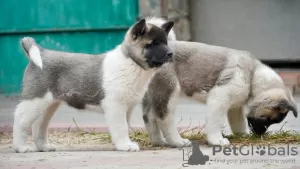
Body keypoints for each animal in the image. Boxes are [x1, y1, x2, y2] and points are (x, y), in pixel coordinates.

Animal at [12, 17, 175, 152]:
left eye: (165, 43)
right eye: (153, 44)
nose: (170, 53)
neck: (132, 63)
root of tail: (42, 53)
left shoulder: (126, 108)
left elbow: (124, 126)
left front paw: (124, 143)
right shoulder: (115, 106)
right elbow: (121, 126)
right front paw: (125, 146)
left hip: (48, 104)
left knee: (39, 124)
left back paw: (43, 147)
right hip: (35, 100)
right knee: (20, 120)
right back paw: (21, 147)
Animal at [141, 40, 298, 146]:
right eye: (269, 119)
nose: (260, 135)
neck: (252, 75)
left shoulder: (235, 106)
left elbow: (238, 122)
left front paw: (242, 134)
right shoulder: (219, 97)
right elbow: (216, 121)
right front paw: (217, 140)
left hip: (152, 94)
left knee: (149, 117)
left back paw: (159, 141)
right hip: (169, 89)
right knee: (164, 118)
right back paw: (177, 141)